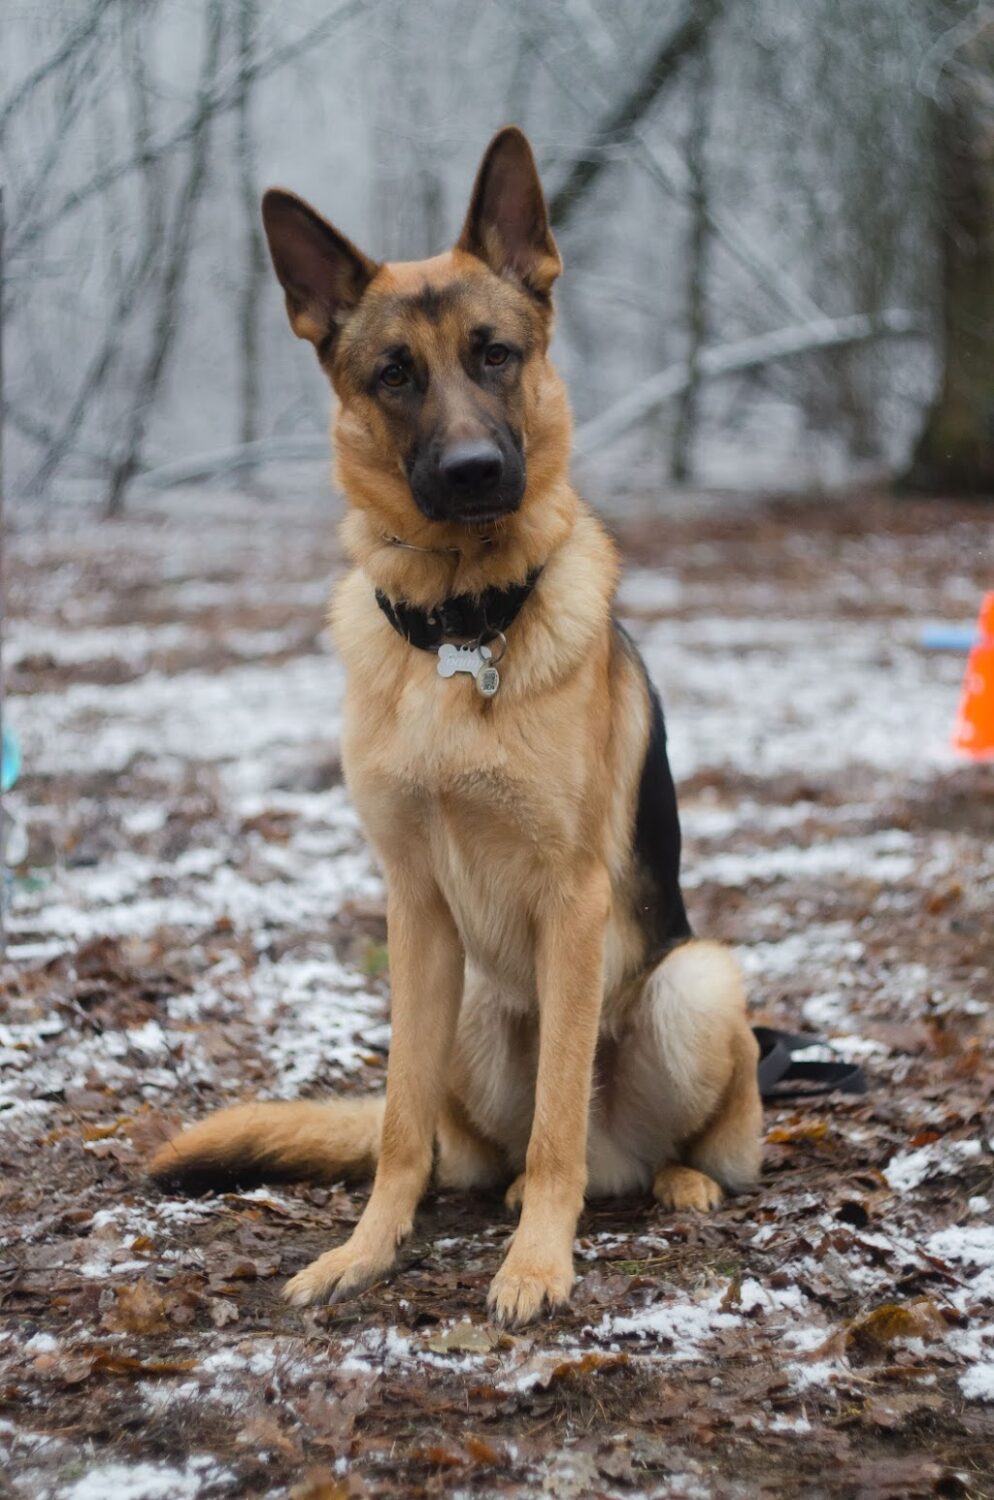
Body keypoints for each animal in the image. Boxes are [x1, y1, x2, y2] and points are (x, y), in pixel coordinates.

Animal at [150, 127, 763, 1326]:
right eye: (394, 374)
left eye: (495, 355)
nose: (476, 473)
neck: (460, 626)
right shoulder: (415, 911)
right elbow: (397, 1122)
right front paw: (366, 1249)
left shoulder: (573, 907)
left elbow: (559, 1116)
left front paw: (537, 1265)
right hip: (478, 1006)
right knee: (472, 1146)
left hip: (696, 981)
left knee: (636, 1144)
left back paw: (670, 1181)